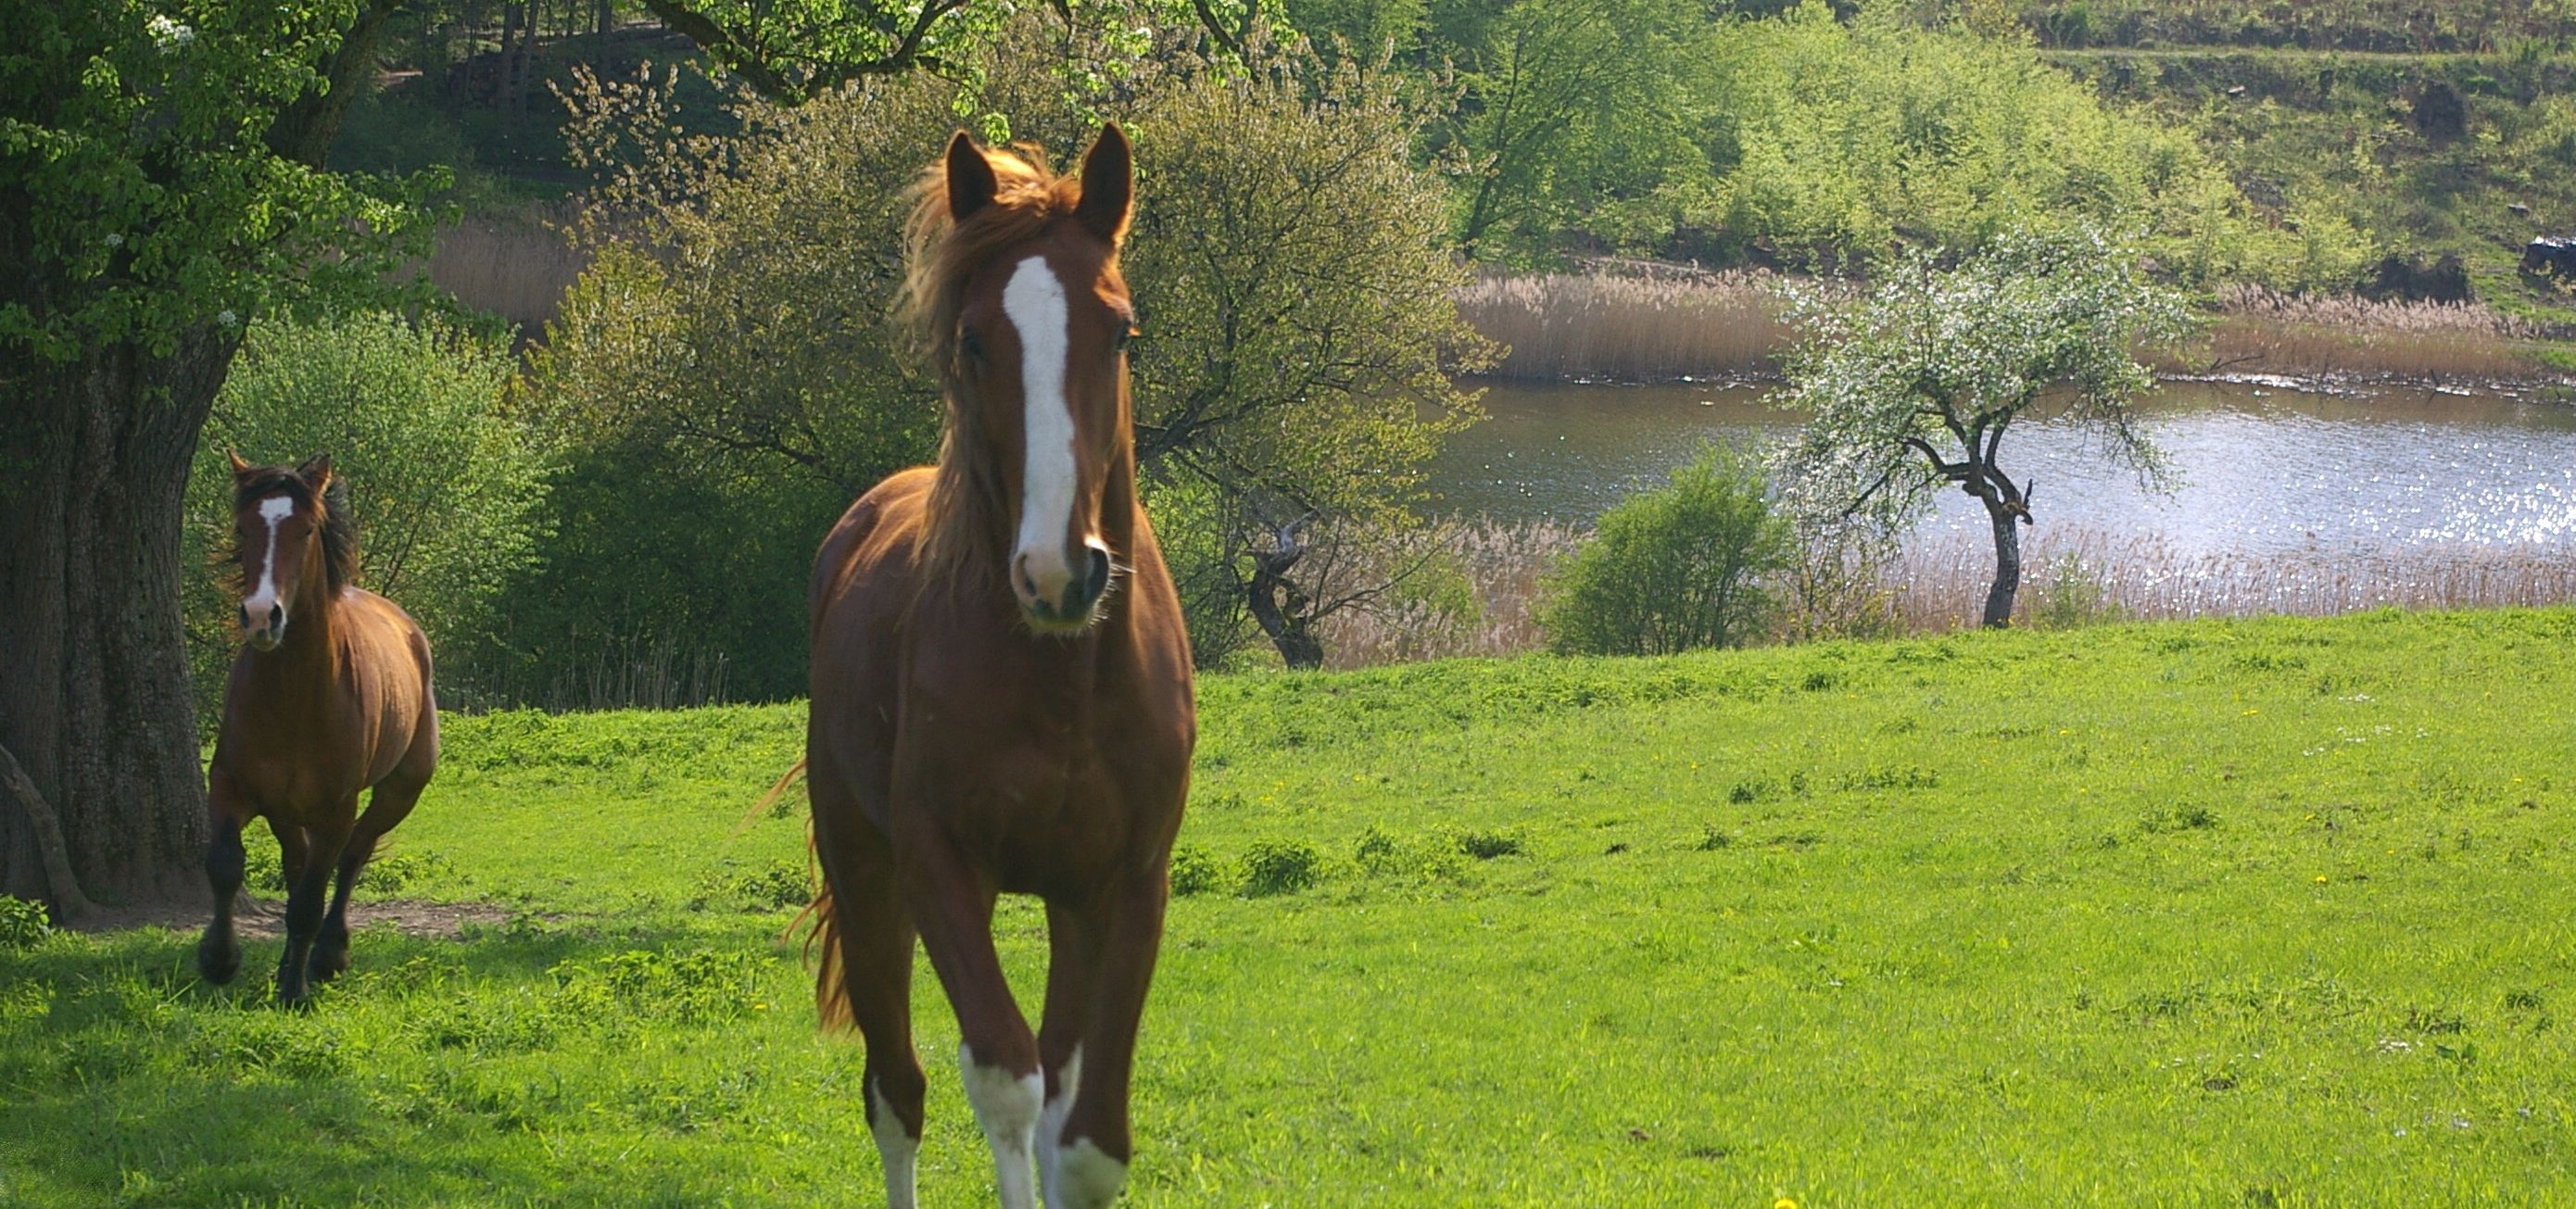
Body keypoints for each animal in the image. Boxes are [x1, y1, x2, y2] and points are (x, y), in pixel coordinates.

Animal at [199, 453, 437, 1000]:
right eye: (243, 528)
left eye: (306, 530)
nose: (261, 616)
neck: (293, 699)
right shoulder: (231, 785)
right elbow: (225, 865)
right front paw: (219, 959)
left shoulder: (334, 809)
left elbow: (309, 900)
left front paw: (294, 993)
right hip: (288, 812)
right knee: (298, 863)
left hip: (399, 791)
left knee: (351, 857)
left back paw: (328, 956)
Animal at [798, 124, 1190, 1206]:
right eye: (975, 340)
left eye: (1121, 332)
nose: (1060, 569)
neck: (1060, 678)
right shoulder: (939, 863)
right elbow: (1004, 1083)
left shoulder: (1127, 882)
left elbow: (1083, 1138)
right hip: (866, 877)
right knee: (896, 1092)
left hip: (1061, 898)